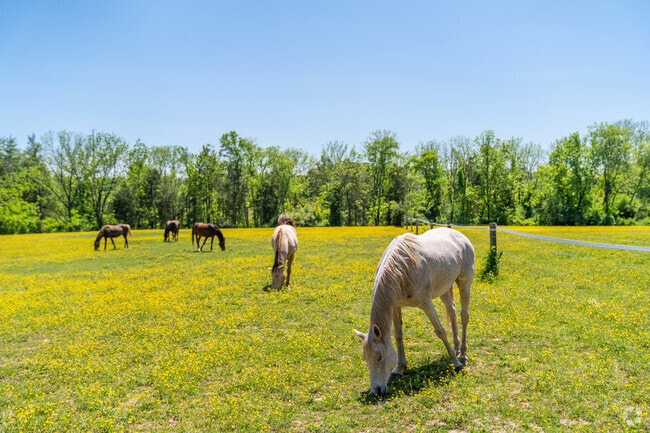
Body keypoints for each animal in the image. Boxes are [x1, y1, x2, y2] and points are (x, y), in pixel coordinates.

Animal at [354, 228, 475, 395]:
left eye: (379, 357)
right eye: (366, 358)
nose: (376, 391)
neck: (402, 269)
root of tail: (459, 235)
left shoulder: (426, 303)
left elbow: (440, 331)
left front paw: (456, 363)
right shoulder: (395, 306)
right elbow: (398, 335)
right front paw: (399, 369)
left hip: (464, 283)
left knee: (464, 315)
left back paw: (462, 354)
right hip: (444, 287)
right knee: (451, 310)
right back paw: (456, 348)